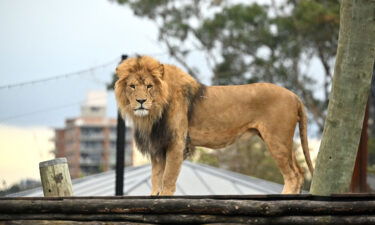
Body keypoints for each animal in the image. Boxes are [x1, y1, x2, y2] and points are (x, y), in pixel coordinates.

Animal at [114, 55, 314, 195]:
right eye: (132, 86)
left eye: (149, 86)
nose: (141, 101)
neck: (153, 114)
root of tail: (294, 95)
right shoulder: (158, 146)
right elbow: (156, 178)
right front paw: (154, 196)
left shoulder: (176, 143)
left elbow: (168, 179)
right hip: (284, 141)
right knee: (300, 172)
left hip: (276, 139)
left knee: (293, 175)